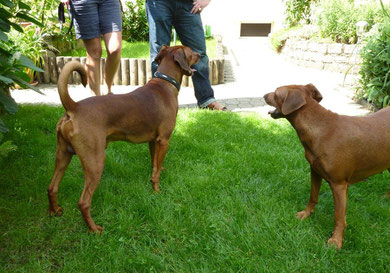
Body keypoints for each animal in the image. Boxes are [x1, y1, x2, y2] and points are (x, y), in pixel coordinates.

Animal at [48, 45, 200, 233]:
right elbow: (156, 173)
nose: (200, 54)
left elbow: (154, 164)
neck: (165, 83)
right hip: (95, 162)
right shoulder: (164, 140)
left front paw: (156, 175)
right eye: (191, 52)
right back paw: (94, 230)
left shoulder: (153, 141)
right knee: (83, 202)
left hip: (63, 155)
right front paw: (157, 192)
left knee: (52, 188)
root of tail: (74, 106)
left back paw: (55, 212)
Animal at [264, 84, 390, 248]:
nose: (264, 95)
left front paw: (336, 240)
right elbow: (313, 196)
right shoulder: (315, 171)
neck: (321, 129)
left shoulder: (339, 185)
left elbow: (339, 217)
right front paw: (306, 214)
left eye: (276, 93)